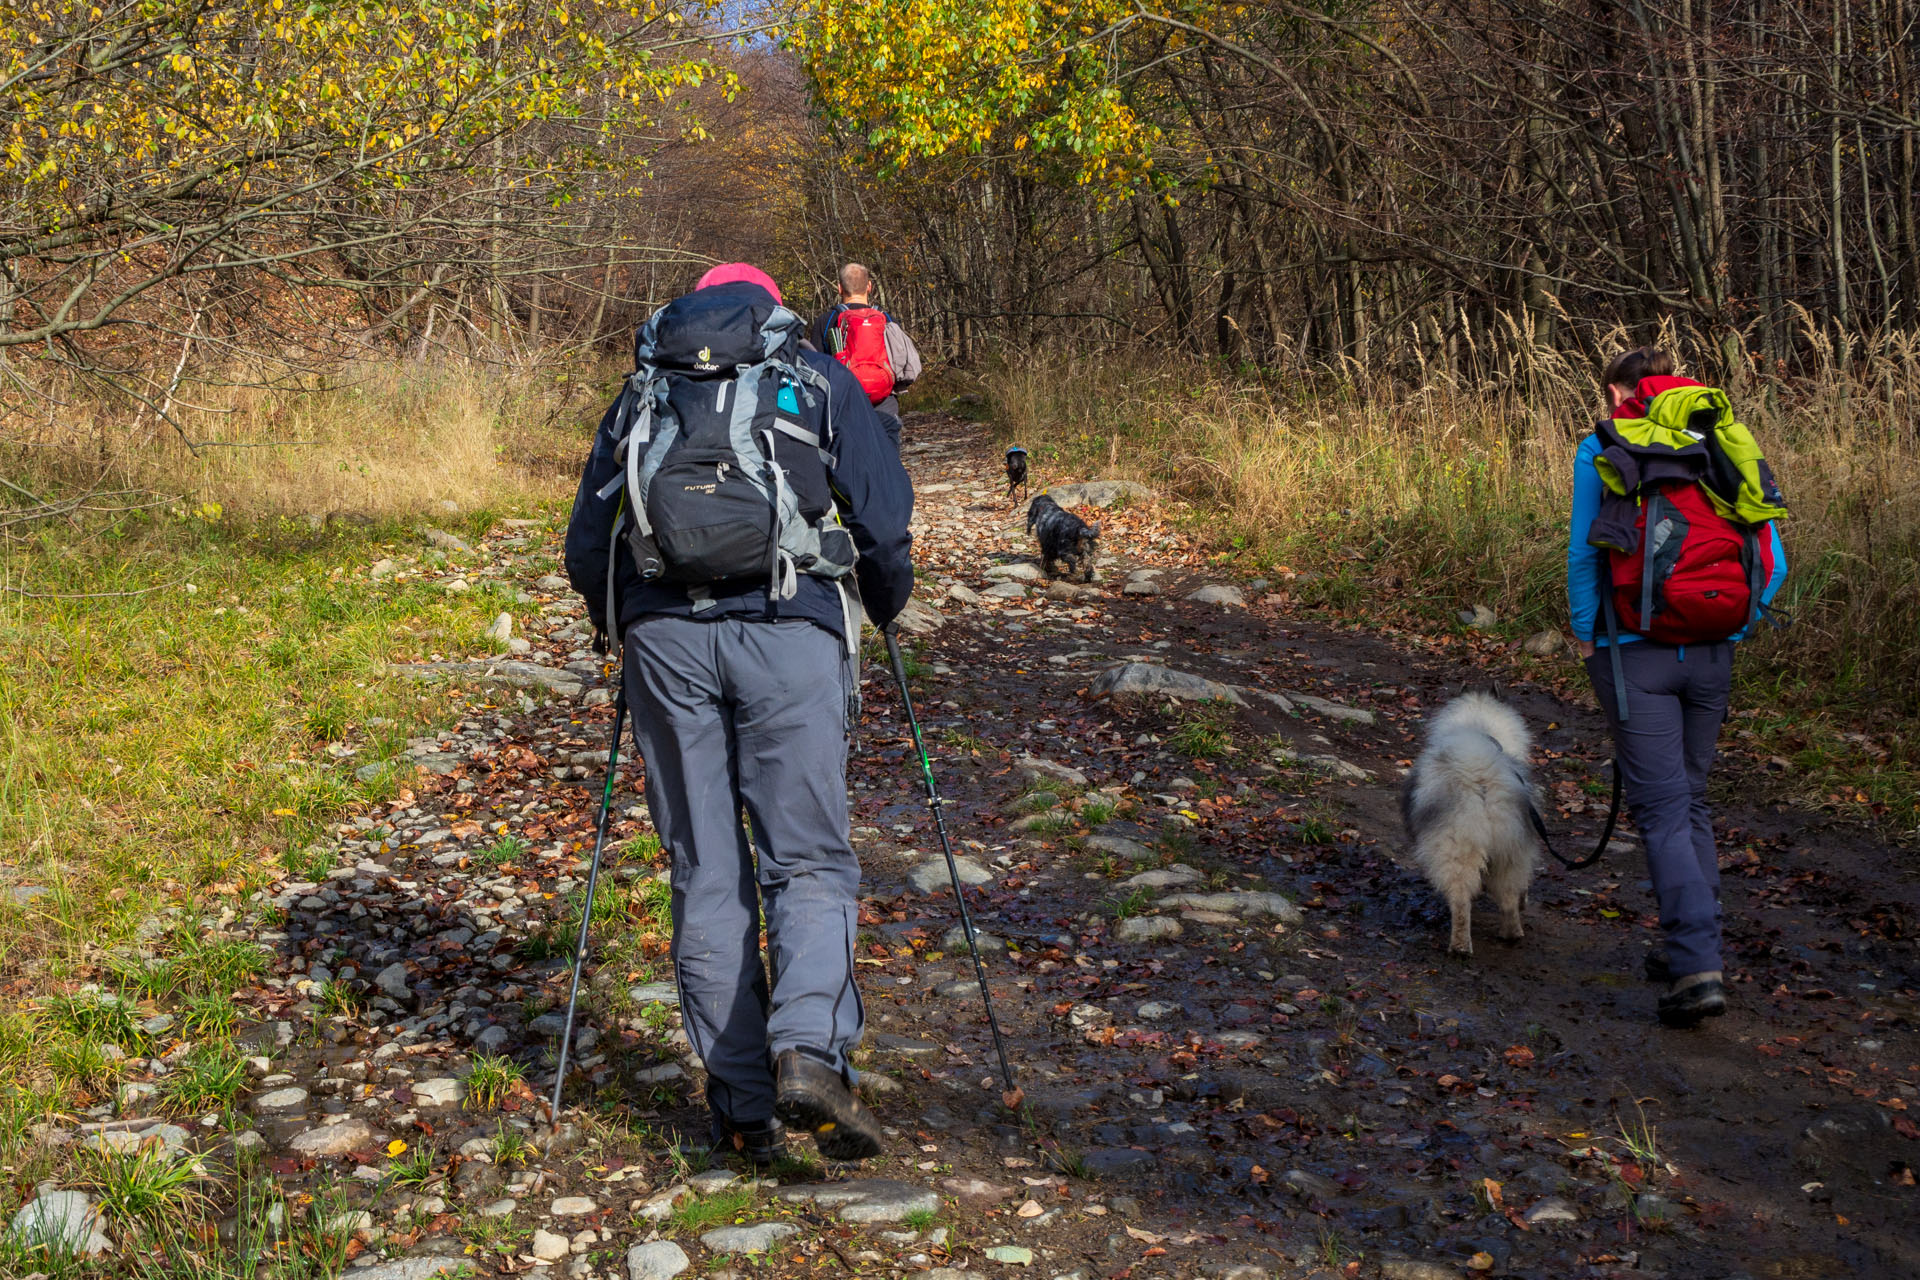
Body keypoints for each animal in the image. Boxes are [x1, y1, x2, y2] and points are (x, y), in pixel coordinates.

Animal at [1405, 694, 1536, 955]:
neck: (1478, 727)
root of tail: (1480, 776)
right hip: (1510, 851)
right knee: (1509, 895)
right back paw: (1511, 933)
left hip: (1457, 849)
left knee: (1460, 903)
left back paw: (1460, 947)